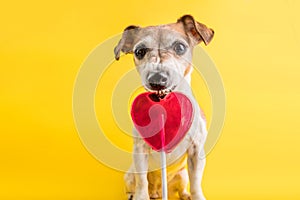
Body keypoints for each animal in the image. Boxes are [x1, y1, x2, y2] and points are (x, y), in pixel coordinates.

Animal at [113, 14, 214, 200]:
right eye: (139, 51)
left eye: (180, 47)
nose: (157, 79)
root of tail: (158, 191)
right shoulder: (140, 151)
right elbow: (142, 182)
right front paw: (140, 196)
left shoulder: (196, 152)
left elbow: (196, 183)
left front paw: (196, 195)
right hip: (129, 175)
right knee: (135, 186)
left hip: (182, 175)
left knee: (182, 187)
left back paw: (185, 195)